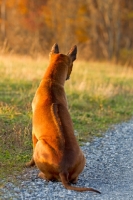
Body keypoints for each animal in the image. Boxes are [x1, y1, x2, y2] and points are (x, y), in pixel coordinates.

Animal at [26, 44, 100, 194]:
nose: (69, 76)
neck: (52, 81)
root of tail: (63, 169)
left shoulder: (33, 133)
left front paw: (29, 164)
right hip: (82, 157)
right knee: (75, 179)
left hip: (40, 144)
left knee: (49, 177)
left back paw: (41, 174)